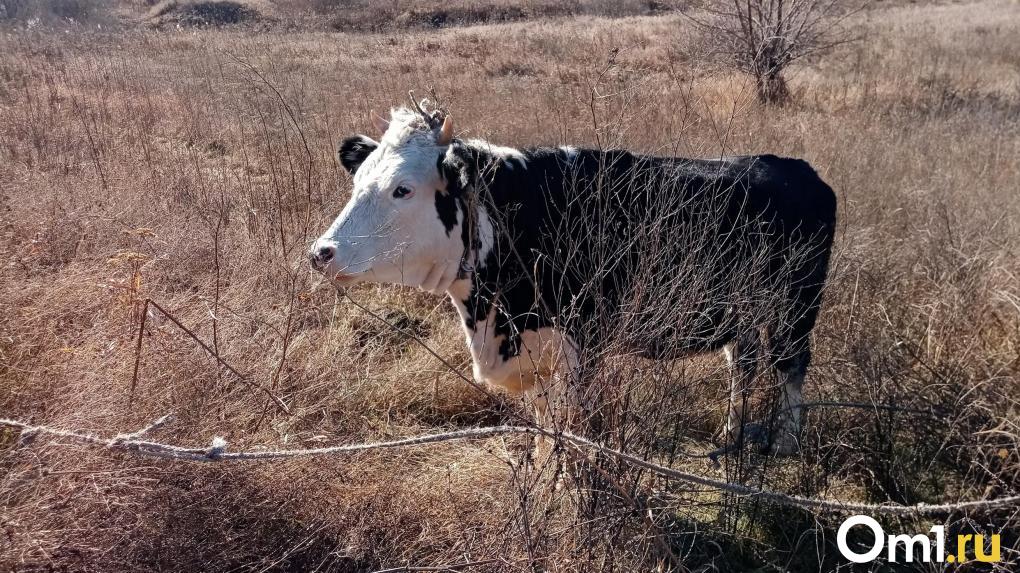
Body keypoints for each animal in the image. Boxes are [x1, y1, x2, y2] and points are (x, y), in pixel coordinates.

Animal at [310, 101, 836, 450]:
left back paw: (786, 443)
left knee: (791, 367)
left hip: (796, 309)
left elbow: (578, 428)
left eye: (403, 189)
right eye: (359, 182)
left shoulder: (584, 346)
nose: (321, 252)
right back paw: (729, 435)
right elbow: (549, 426)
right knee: (742, 364)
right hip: (741, 313)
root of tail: (793, 167)